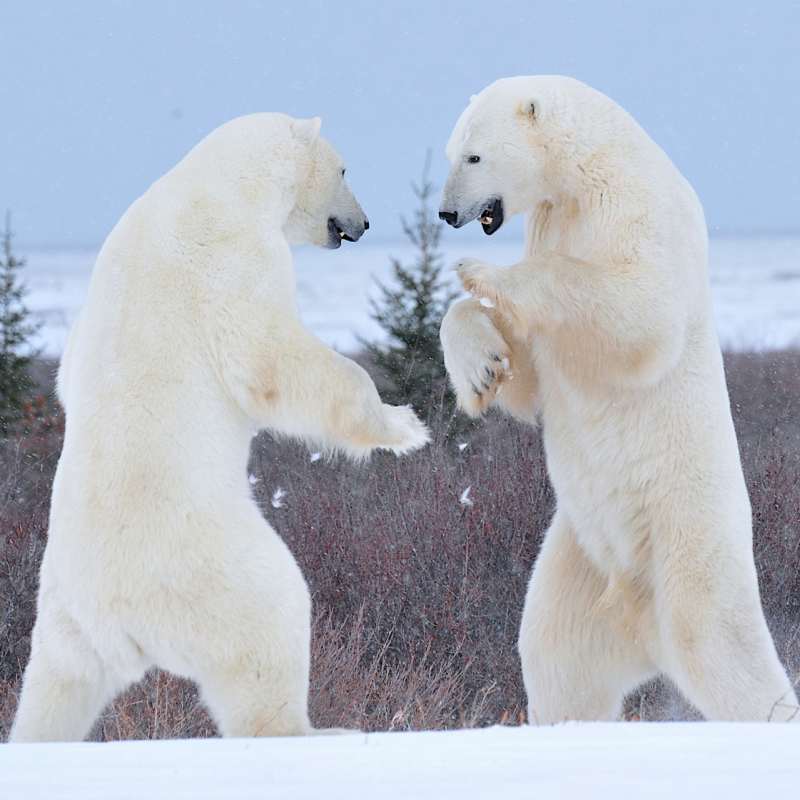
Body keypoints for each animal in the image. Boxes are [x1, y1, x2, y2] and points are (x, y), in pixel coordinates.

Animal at [10, 113, 429, 742]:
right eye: (344, 169)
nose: (362, 223)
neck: (220, 183)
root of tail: (121, 619)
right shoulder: (233, 256)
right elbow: (271, 358)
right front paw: (405, 425)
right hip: (217, 569)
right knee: (273, 621)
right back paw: (321, 730)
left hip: (63, 617)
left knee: (55, 688)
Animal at [439, 76, 798, 723]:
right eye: (452, 152)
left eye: (474, 156)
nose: (447, 212)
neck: (588, 166)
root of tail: (640, 621)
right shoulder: (554, 217)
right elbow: (529, 373)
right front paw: (481, 367)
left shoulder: (634, 206)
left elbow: (636, 309)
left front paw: (482, 272)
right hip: (581, 557)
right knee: (555, 656)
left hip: (687, 541)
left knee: (720, 648)